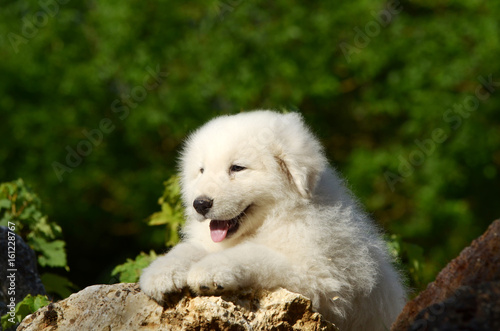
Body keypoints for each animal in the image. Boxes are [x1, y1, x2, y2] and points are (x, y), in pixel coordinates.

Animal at [140, 112, 406, 331]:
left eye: (237, 168)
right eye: (202, 171)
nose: (200, 204)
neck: (274, 219)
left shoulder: (321, 277)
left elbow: (255, 254)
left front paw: (210, 270)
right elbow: (187, 249)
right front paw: (160, 272)